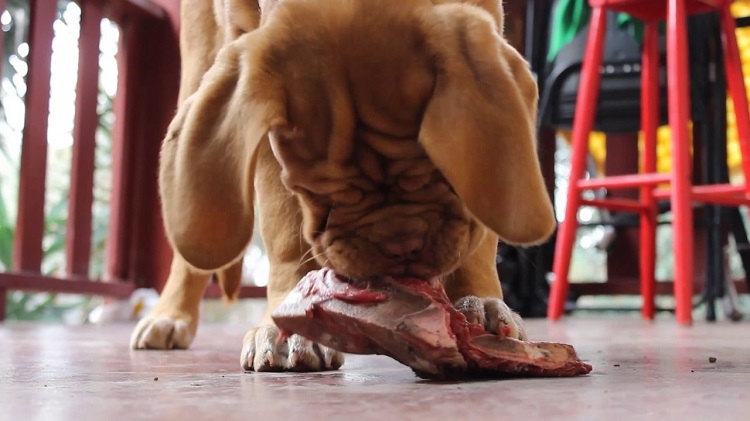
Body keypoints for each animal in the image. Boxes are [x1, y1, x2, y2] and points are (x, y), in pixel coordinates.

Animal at [132, 0, 560, 372]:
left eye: (441, 167)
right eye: (316, 191)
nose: (400, 245)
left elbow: (483, 215)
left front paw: (479, 302)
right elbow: (285, 236)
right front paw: (287, 328)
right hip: (200, 59)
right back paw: (169, 316)